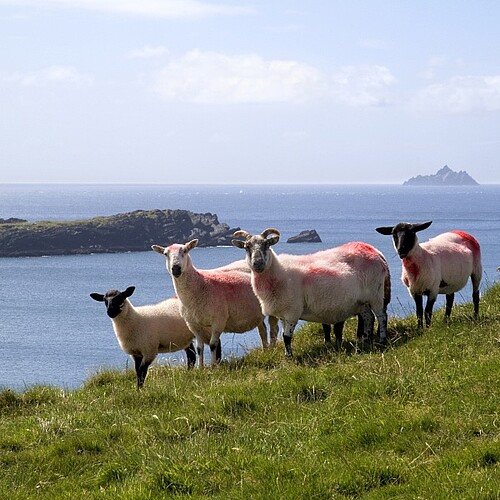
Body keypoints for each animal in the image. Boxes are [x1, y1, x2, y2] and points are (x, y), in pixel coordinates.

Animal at [150, 239, 280, 368]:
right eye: (165, 254)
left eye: (185, 250)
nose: (176, 268)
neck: (201, 285)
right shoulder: (193, 324)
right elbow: (199, 348)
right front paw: (201, 368)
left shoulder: (218, 321)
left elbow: (213, 345)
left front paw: (213, 367)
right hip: (258, 314)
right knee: (263, 330)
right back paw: (265, 351)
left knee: (274, 329)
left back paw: (272, 351)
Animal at [230, 229, 390, 358]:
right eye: (246, 247)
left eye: (267, 245)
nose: (258, 264)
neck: (278, 273)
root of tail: (375, 252)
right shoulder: (282, 313)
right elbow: (283, 335)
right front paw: (287, 354)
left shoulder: (292, 311)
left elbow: (286, 336)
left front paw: (289, 357)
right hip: (362, 301)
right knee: (369, 317)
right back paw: (366, 340)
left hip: (376, 294)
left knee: (381, 316)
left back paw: (382, 340)